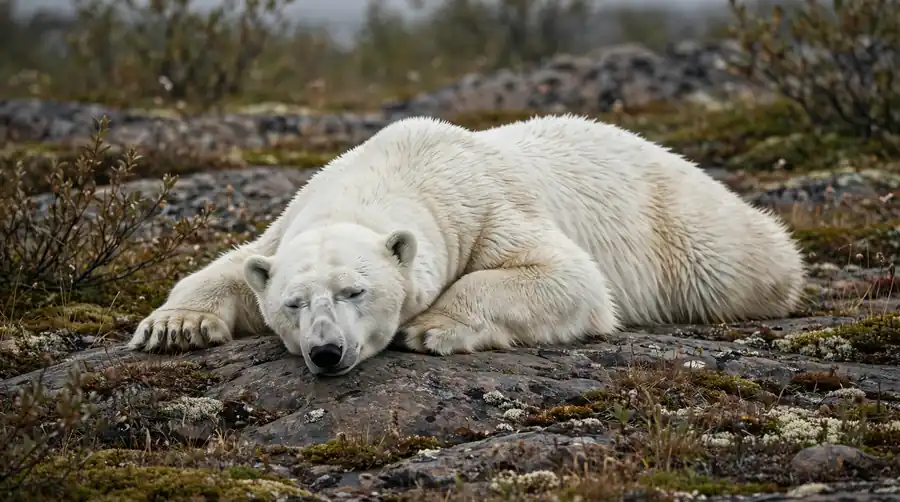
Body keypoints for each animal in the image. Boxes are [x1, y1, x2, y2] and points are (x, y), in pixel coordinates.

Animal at [127, 113, 807, 377]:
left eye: (355, 291)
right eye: (295, 303)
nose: (326, 352)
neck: (403, 166)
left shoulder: (489, 206)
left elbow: (566, 276)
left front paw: (432, 327)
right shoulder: (289, 216)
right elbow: (234, 266)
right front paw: (173, 327)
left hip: (688, 233)